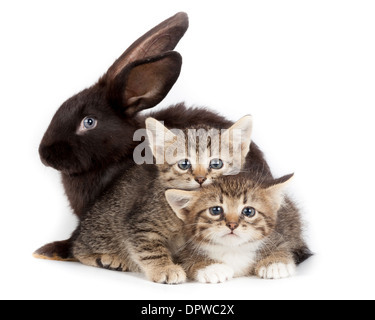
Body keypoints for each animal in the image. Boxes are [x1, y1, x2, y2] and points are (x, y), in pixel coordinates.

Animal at [72, 114, 254, 282]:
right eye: (184, 164)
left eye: (216, 163)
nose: (200, 178)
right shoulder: (141, 223)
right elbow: (150, 248)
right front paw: (165, 268)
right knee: (78, 250)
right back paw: (105, 258)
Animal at [167, 172, 312, 282]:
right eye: (215, 210)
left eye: (248, 211)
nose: (232, 224)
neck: (233, 250)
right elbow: (187, 260)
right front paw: (212, 268)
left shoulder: (278, 234)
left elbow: (282, 246)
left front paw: (275, 263)